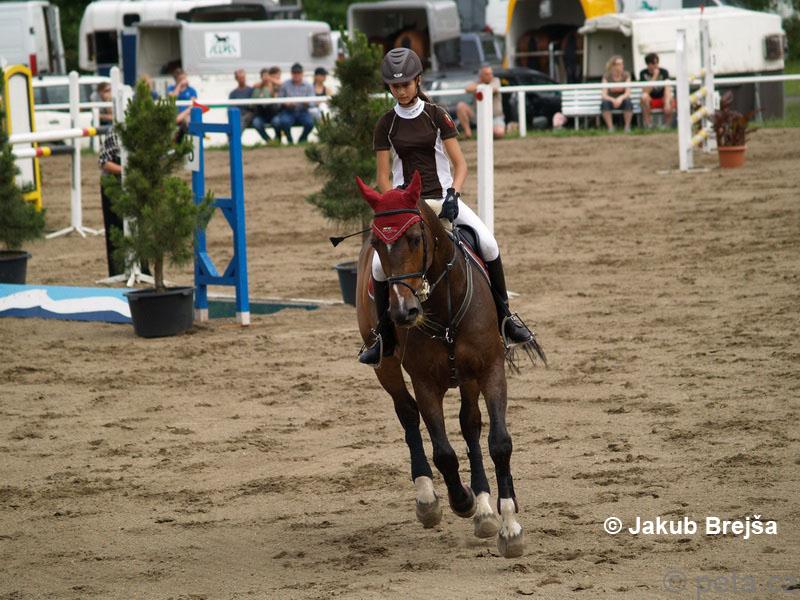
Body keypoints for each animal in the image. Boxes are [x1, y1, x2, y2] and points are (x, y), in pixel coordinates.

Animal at [354, 172, 543, 558]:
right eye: (378, 244)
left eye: (414, 238)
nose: (403, 312)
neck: (443, 304)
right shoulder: (425, 382)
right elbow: (443, 452)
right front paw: (461, 501)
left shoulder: (490, 370)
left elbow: (499, 442)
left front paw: (509, 526)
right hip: (386, 367)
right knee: (408, 415)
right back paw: (429, 498)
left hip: (468, 376)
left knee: (470, 423)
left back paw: (485, 509)